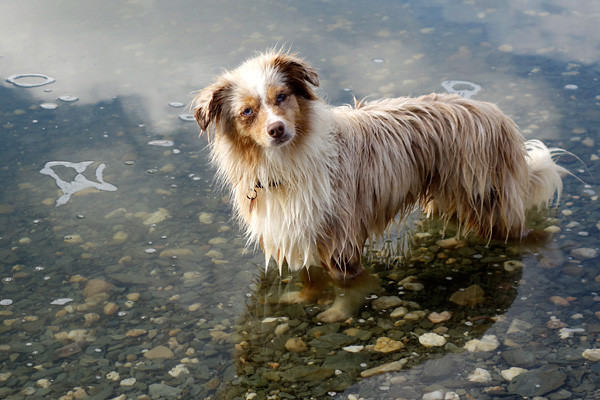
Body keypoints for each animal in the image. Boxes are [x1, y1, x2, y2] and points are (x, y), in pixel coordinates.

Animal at [192, 50, 568, 324]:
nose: (277, 129)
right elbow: (310, 279)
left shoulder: (340, 235)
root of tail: (499, 116)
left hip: (490, 199)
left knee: (524, 234)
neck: (285, 162)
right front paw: (300, 298)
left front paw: (338, 313)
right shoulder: (300, 229)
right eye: (247, 112)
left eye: (281, 96)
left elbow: (351, 286)